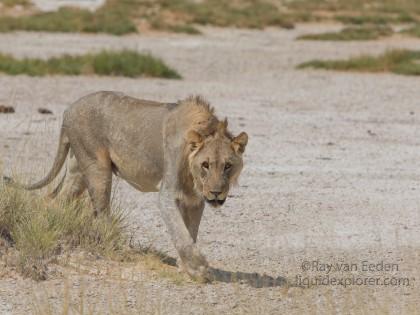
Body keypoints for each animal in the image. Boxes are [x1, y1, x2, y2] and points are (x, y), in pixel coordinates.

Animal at [4, 92, 248, 282]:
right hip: (98, 169)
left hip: (77, 172)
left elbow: (190, 233)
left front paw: (185, 266)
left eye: (227, 166)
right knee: (102, 214)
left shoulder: (196, 200)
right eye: (205, 165)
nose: (215, 192)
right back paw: (113, 248)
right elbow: (180, 231)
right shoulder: (168, 194)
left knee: (54, 200)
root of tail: (68, 110)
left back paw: (51, 226)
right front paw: (199, 269)